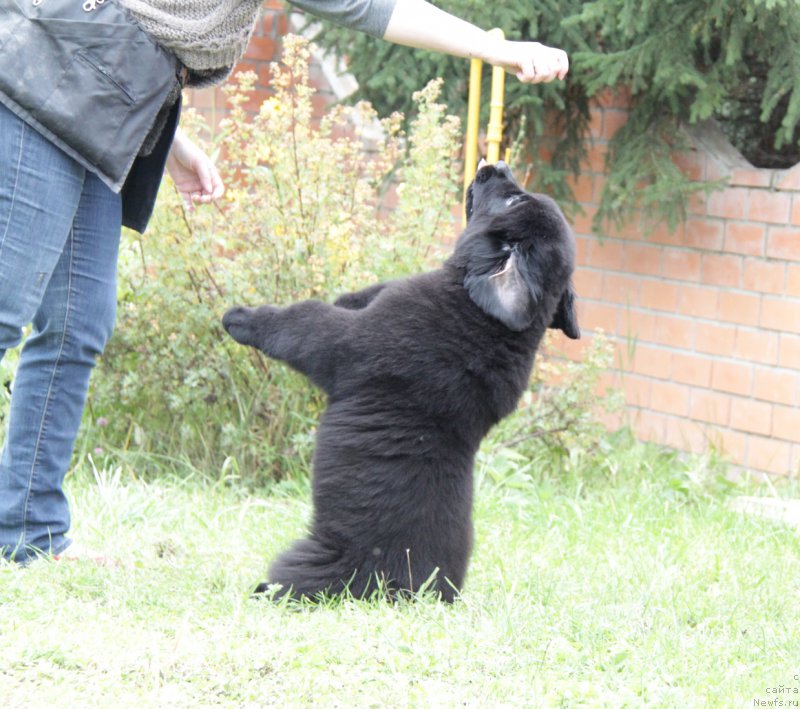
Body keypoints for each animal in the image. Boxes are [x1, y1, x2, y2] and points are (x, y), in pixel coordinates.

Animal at [222, 162, 580, 604]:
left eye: (514, 200)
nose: (496, 165)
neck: (481, 314)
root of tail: (410, 594)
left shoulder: (342, 342)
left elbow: (303, 319)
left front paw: (241, 318)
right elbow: (360, 296)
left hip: (311, 566)